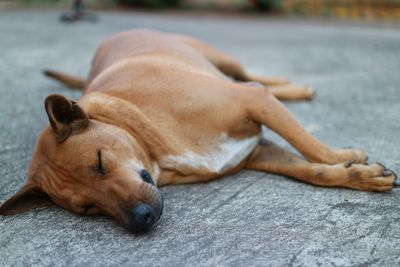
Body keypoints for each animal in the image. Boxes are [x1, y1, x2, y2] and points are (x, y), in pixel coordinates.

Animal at [0, 29, 396, 233]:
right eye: (86, 208)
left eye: (99, 161)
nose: (140, 221)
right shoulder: (256, 152)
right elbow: (313, 171)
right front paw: (359, 175)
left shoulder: (253, 100)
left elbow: (311, 146)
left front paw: (345, 156)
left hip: (221, 59)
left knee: (253, 76)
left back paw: (295, 87)